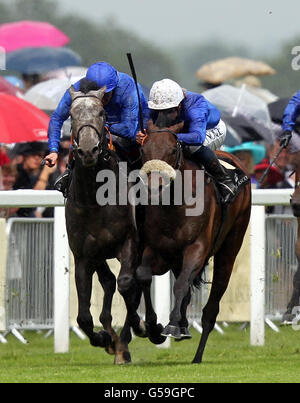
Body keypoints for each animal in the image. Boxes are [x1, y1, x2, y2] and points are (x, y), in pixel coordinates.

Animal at [64, 83, 143, 364]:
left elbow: (128, 284)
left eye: (101, 113)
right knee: (108, 282)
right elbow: (83, 317)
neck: (95, 199)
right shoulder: (84, 256)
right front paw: (104, 338)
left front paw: (130, 331)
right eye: (72, 114)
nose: (88, 150)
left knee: (132, 284)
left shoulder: (129, 243)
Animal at [137, 118, 252, 364]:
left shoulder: (197, 248)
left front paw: (171, 326)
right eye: (143, 150)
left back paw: (197, 354)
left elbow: (180, 285)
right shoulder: (158, 250)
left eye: (173, 150)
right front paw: (153, 326)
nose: (153, 187)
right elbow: (143, 276)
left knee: (211, 308)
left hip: (230, 247)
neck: (173, 205)